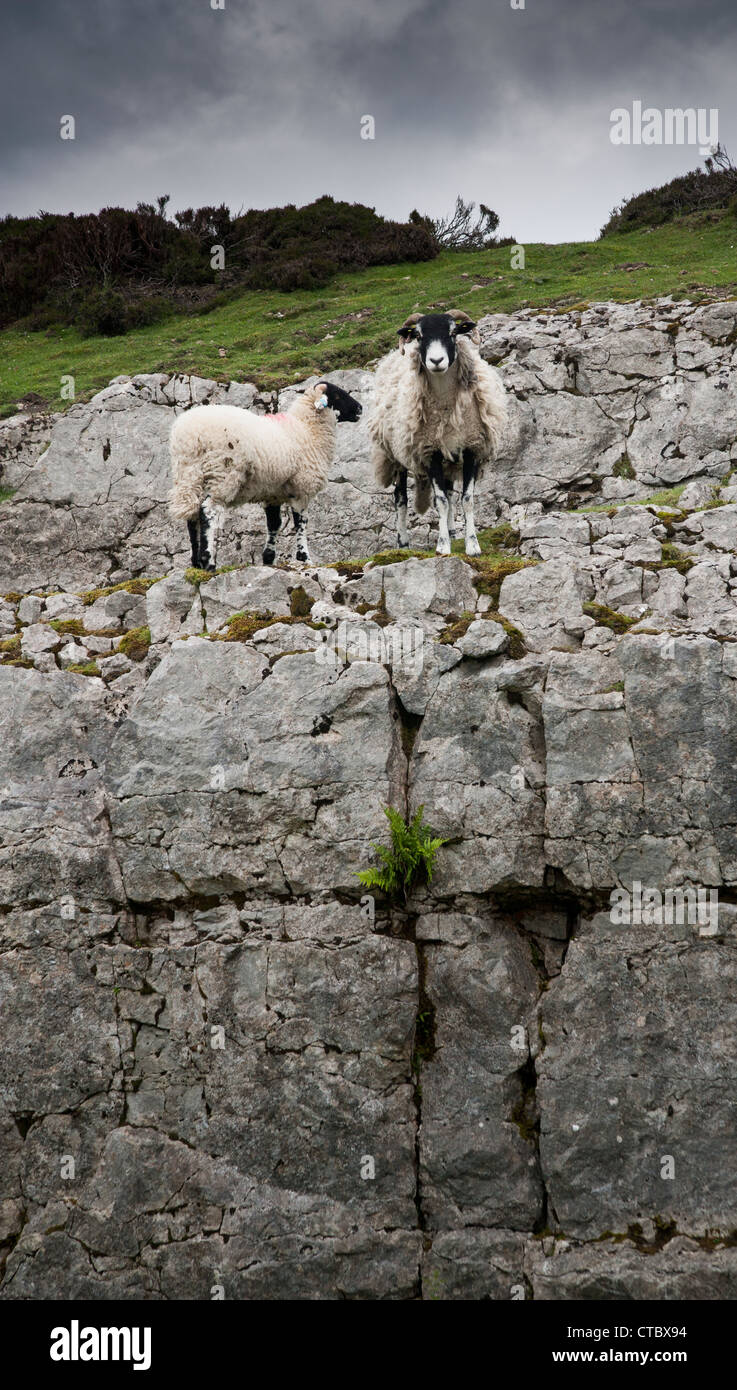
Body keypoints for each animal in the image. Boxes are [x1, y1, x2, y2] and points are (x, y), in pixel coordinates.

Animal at [166, 378, 361, 567]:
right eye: (337, 395)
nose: (360, 408)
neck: (306, 429)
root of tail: (190, 436)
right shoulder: (302, 488)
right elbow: (300, 523)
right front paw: (304, 558)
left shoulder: (273, 493)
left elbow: (274, 523)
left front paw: (268, 558)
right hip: (222, 473)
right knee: (208, 511)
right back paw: (208, 561)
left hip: (189, 474)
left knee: (192, 515)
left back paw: (195, 563)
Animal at [364, 312, 506, 556]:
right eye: (419, 335)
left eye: (453, 332)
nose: (437, 361)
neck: (447, 409)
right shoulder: (430, 452)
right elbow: (440, 501)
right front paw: (442, 546)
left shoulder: (472, 448)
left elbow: (466, 499)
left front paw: (472, 544)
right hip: (396, 454)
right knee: (400, 499)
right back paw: (403, 542)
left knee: (449, 492)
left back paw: (453, 532)